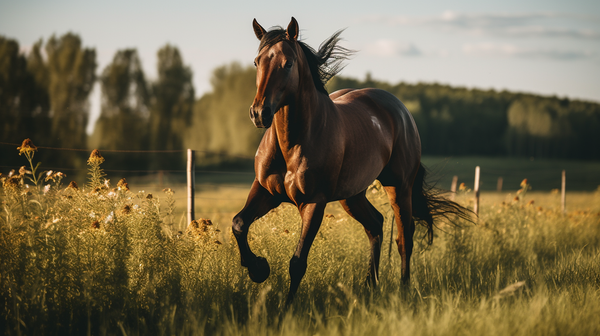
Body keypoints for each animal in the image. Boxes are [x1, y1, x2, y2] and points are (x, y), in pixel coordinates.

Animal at [232, 17, 472, 306]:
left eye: (287, 63)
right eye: (257, 62)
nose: (259, 113)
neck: (293, 143)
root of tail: (401, 110)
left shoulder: (314, 203)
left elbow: (297, 261)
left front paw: (286, 307)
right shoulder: (265, 191)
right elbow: (239, 224)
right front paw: (259, 268)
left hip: (399, 188)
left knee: (405, 237)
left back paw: (403, 290)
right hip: (352, 195)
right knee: (376, 224)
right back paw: (370, 285)